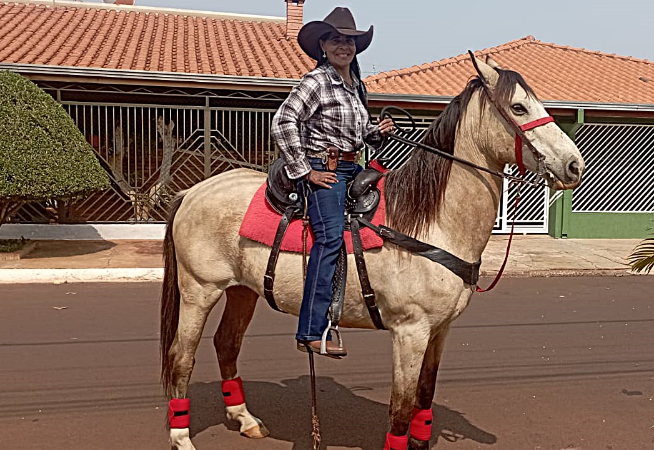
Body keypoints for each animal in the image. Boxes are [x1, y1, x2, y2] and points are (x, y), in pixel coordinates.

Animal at [161, 57, 588, 450]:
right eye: (518, 107)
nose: (573, 165)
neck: (429, 223)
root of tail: (192, 192)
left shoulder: (440, 330)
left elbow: (424, 398)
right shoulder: (410, 332)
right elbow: (400, 409)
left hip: (242, 291)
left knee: (226, 344)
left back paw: (245, 419)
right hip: (199, 291)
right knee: (181, 357)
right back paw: (181, 437)